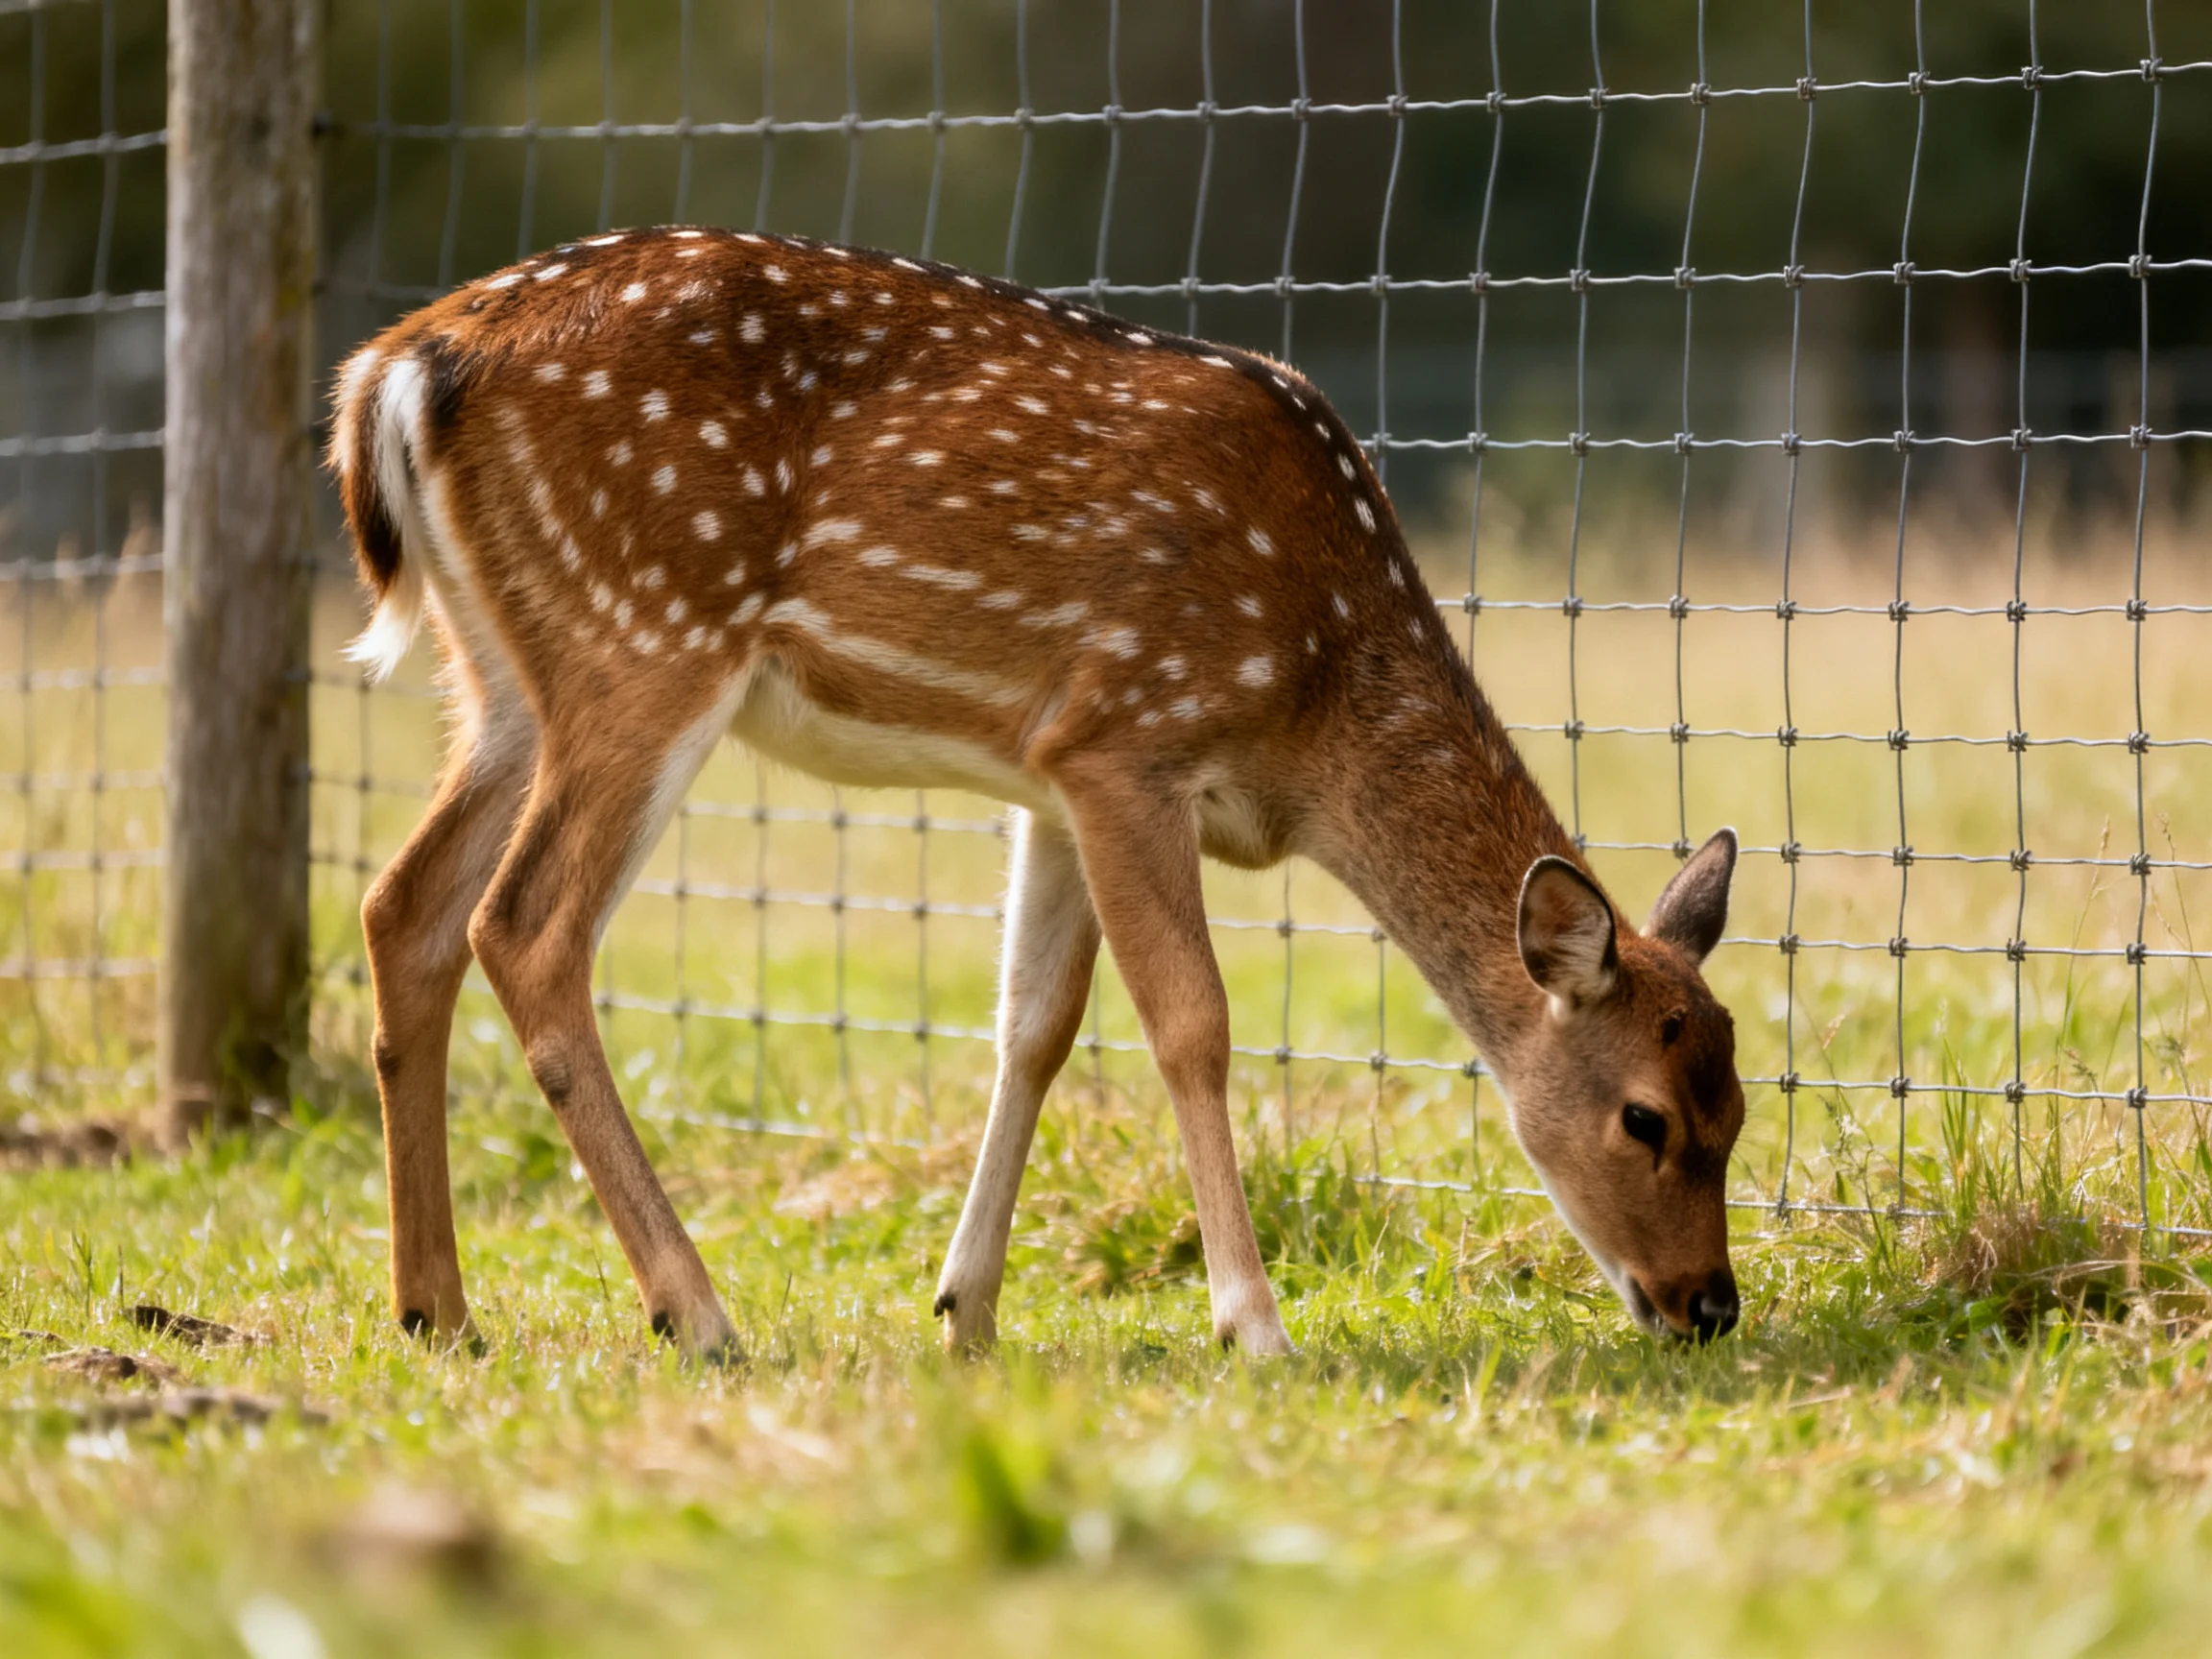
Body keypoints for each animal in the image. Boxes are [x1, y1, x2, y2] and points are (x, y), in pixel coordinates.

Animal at [327, 225, 1747, 1363]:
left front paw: (966, 1307)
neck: (1314, 705)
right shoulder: (1128, 738)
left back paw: (435, 1309)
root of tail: (398, 370)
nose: (1709, 1306)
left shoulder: (1053, 775)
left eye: (1740, 1107)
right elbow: (1190, 1022)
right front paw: (1253, 1322)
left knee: (403, 905)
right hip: (646, 630)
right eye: (1646, 1117)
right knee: (524, 927)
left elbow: (1034, 1026)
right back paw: (696, 1309)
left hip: (506, 676)